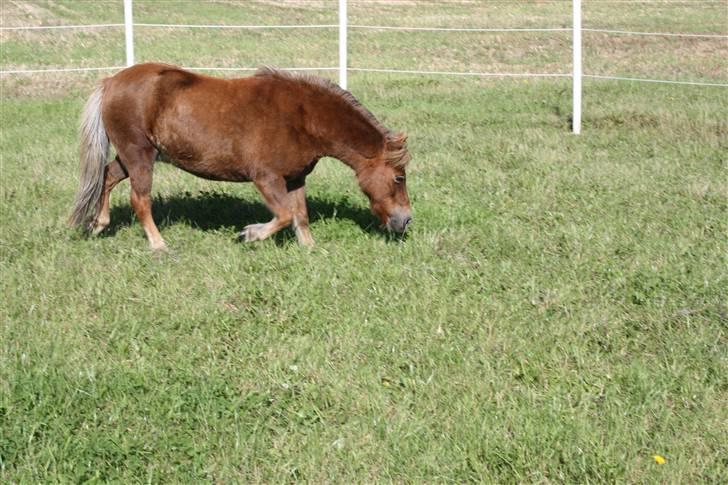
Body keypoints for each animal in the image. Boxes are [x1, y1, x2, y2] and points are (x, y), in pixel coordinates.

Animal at [70, 62, 412, 250]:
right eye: (399, 177)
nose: (406, 220)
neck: (303, 116)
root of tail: (111, 82)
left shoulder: (295, 178)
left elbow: (299, 215)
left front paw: (310, 249)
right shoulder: (266, 178)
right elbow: (284, 215)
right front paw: (250, 234)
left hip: (133, 156)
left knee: (107, 176)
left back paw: (98, 224)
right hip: (139, 155)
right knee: (139, 200)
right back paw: (158, 245)